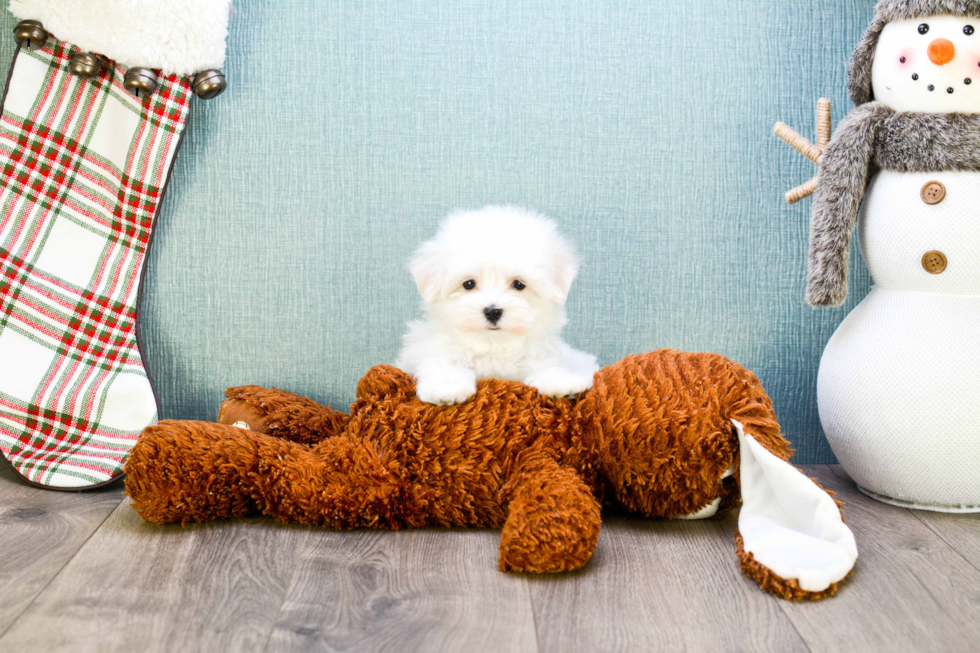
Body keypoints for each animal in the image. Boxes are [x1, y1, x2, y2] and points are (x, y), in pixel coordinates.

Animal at [396, 206, 596, 404]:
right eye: (469, 284)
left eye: (519, 284)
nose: (493, 311)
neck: (492, 345)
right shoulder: (436, 351)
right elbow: (443, 366)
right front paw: (448, 389)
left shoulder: (539, 355)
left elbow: (545, 368)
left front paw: (561, 383)